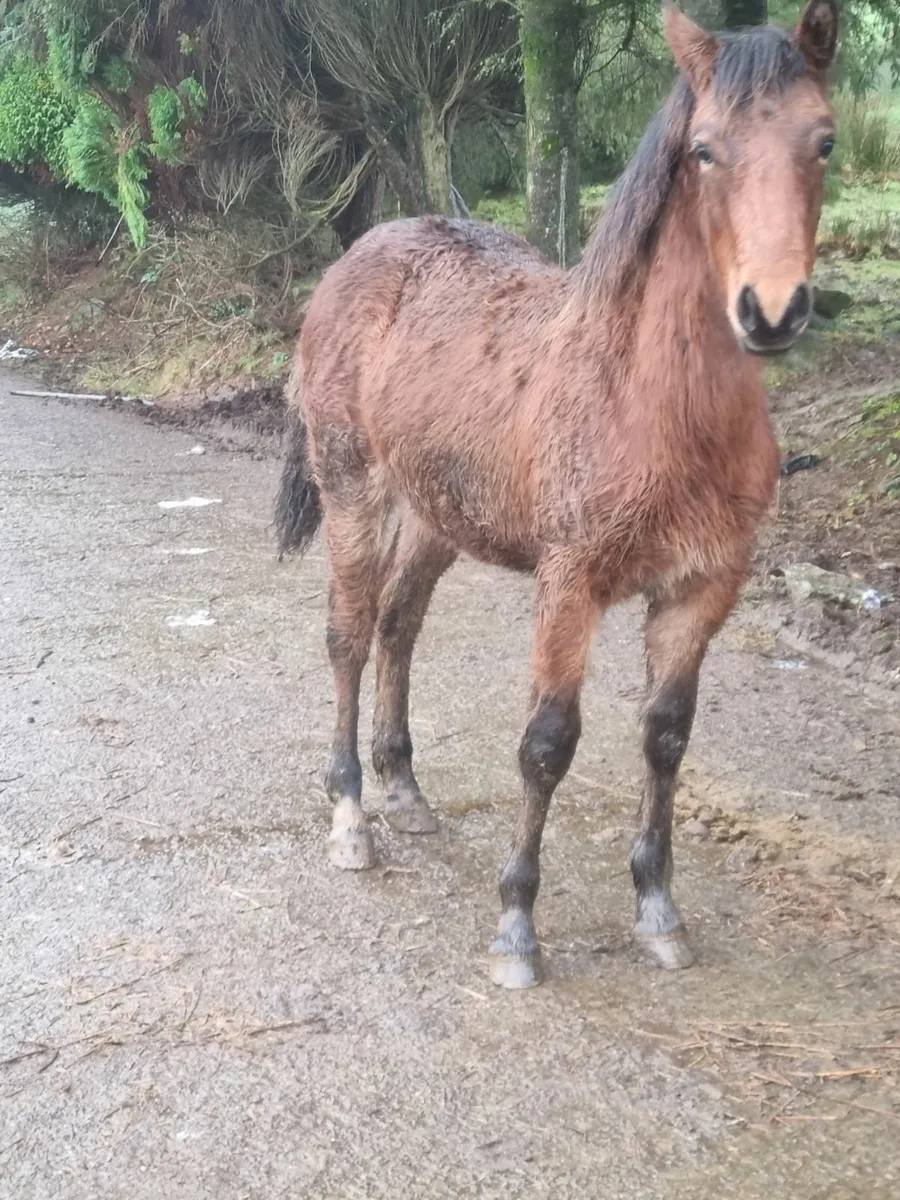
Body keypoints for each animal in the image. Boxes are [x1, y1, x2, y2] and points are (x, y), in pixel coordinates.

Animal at [275, 1, 839, 989]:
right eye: (704, 149)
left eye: (826, 141)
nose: (772, 311)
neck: (649, 399)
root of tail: (360, 254)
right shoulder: (569, 583)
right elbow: (546, 743)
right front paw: (516, 928)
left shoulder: (701, 589)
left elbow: (666, 735)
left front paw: (658, 909)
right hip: (354, 496)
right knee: (347, 636)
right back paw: (350, 817)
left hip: (439, 515)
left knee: (397, 627)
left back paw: (404, 789)